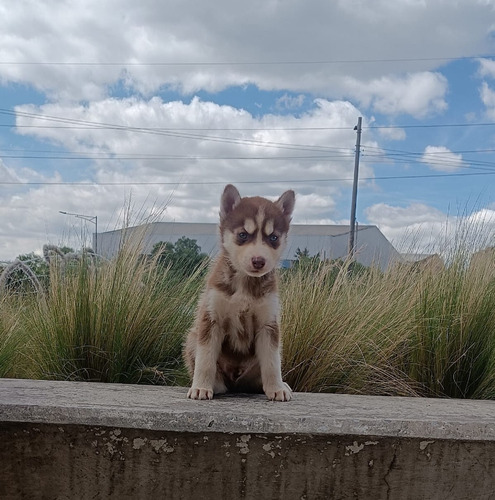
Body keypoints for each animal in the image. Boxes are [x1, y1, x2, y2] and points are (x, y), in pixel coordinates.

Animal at [185, 185, 294, 402]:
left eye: (273, 238)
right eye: (243, 235)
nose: (258, 261)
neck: (245, 283)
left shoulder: (269, 324)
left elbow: (272, 362)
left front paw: (276, 388)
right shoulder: (211, 319)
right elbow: (205, 359)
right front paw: (201, 387)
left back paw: (279, 385)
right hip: (192, 337)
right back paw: (216, 384)